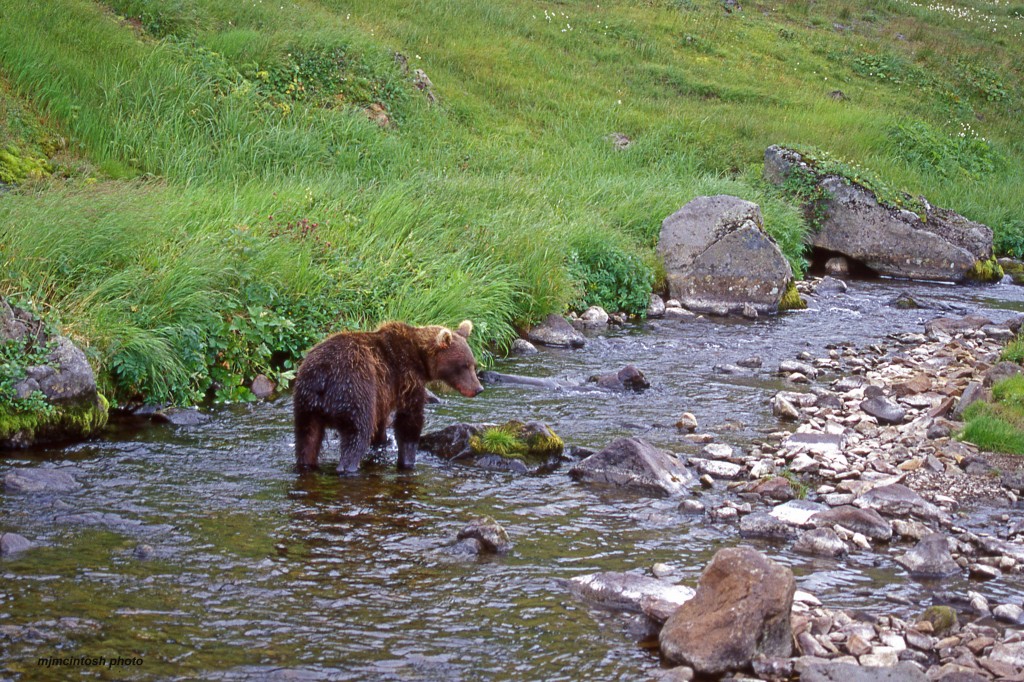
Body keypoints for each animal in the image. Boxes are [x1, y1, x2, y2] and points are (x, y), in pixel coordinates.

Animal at [288, 319, 479, 473]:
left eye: (473, 364)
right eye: (464, 365)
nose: (479, 388)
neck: (420, 358)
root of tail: (323, 375)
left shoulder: (383, 392)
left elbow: (381, 420)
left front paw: (382, 441)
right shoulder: (406, 378)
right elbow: (409, 420)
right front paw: (407, 460)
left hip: (306, 402)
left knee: (307, 439)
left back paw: (306, 464)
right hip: (353, 388)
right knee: (357, 434)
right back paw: (348, 467)